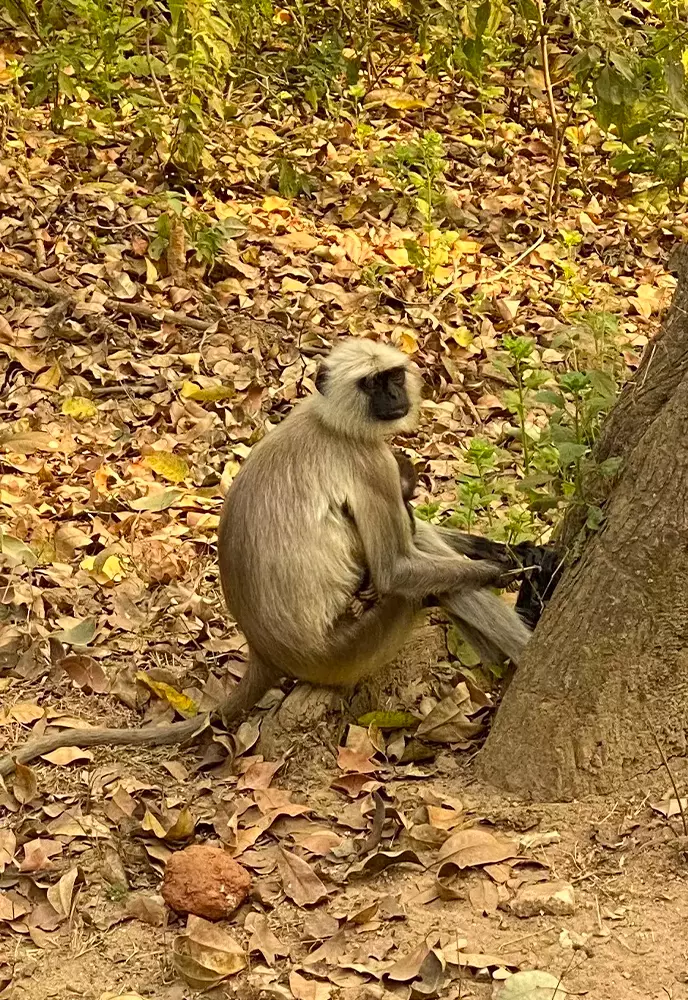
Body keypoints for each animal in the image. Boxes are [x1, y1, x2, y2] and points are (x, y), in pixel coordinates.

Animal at [0, 338, 531, 777]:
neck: (328, 420)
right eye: (372, 384)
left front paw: (512, 550)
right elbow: (394, 570)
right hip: (347, 649)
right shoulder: (370, 461)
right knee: (419, 587)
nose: (394, 398)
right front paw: (512, 569)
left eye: (394, 378)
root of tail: (263, 649)